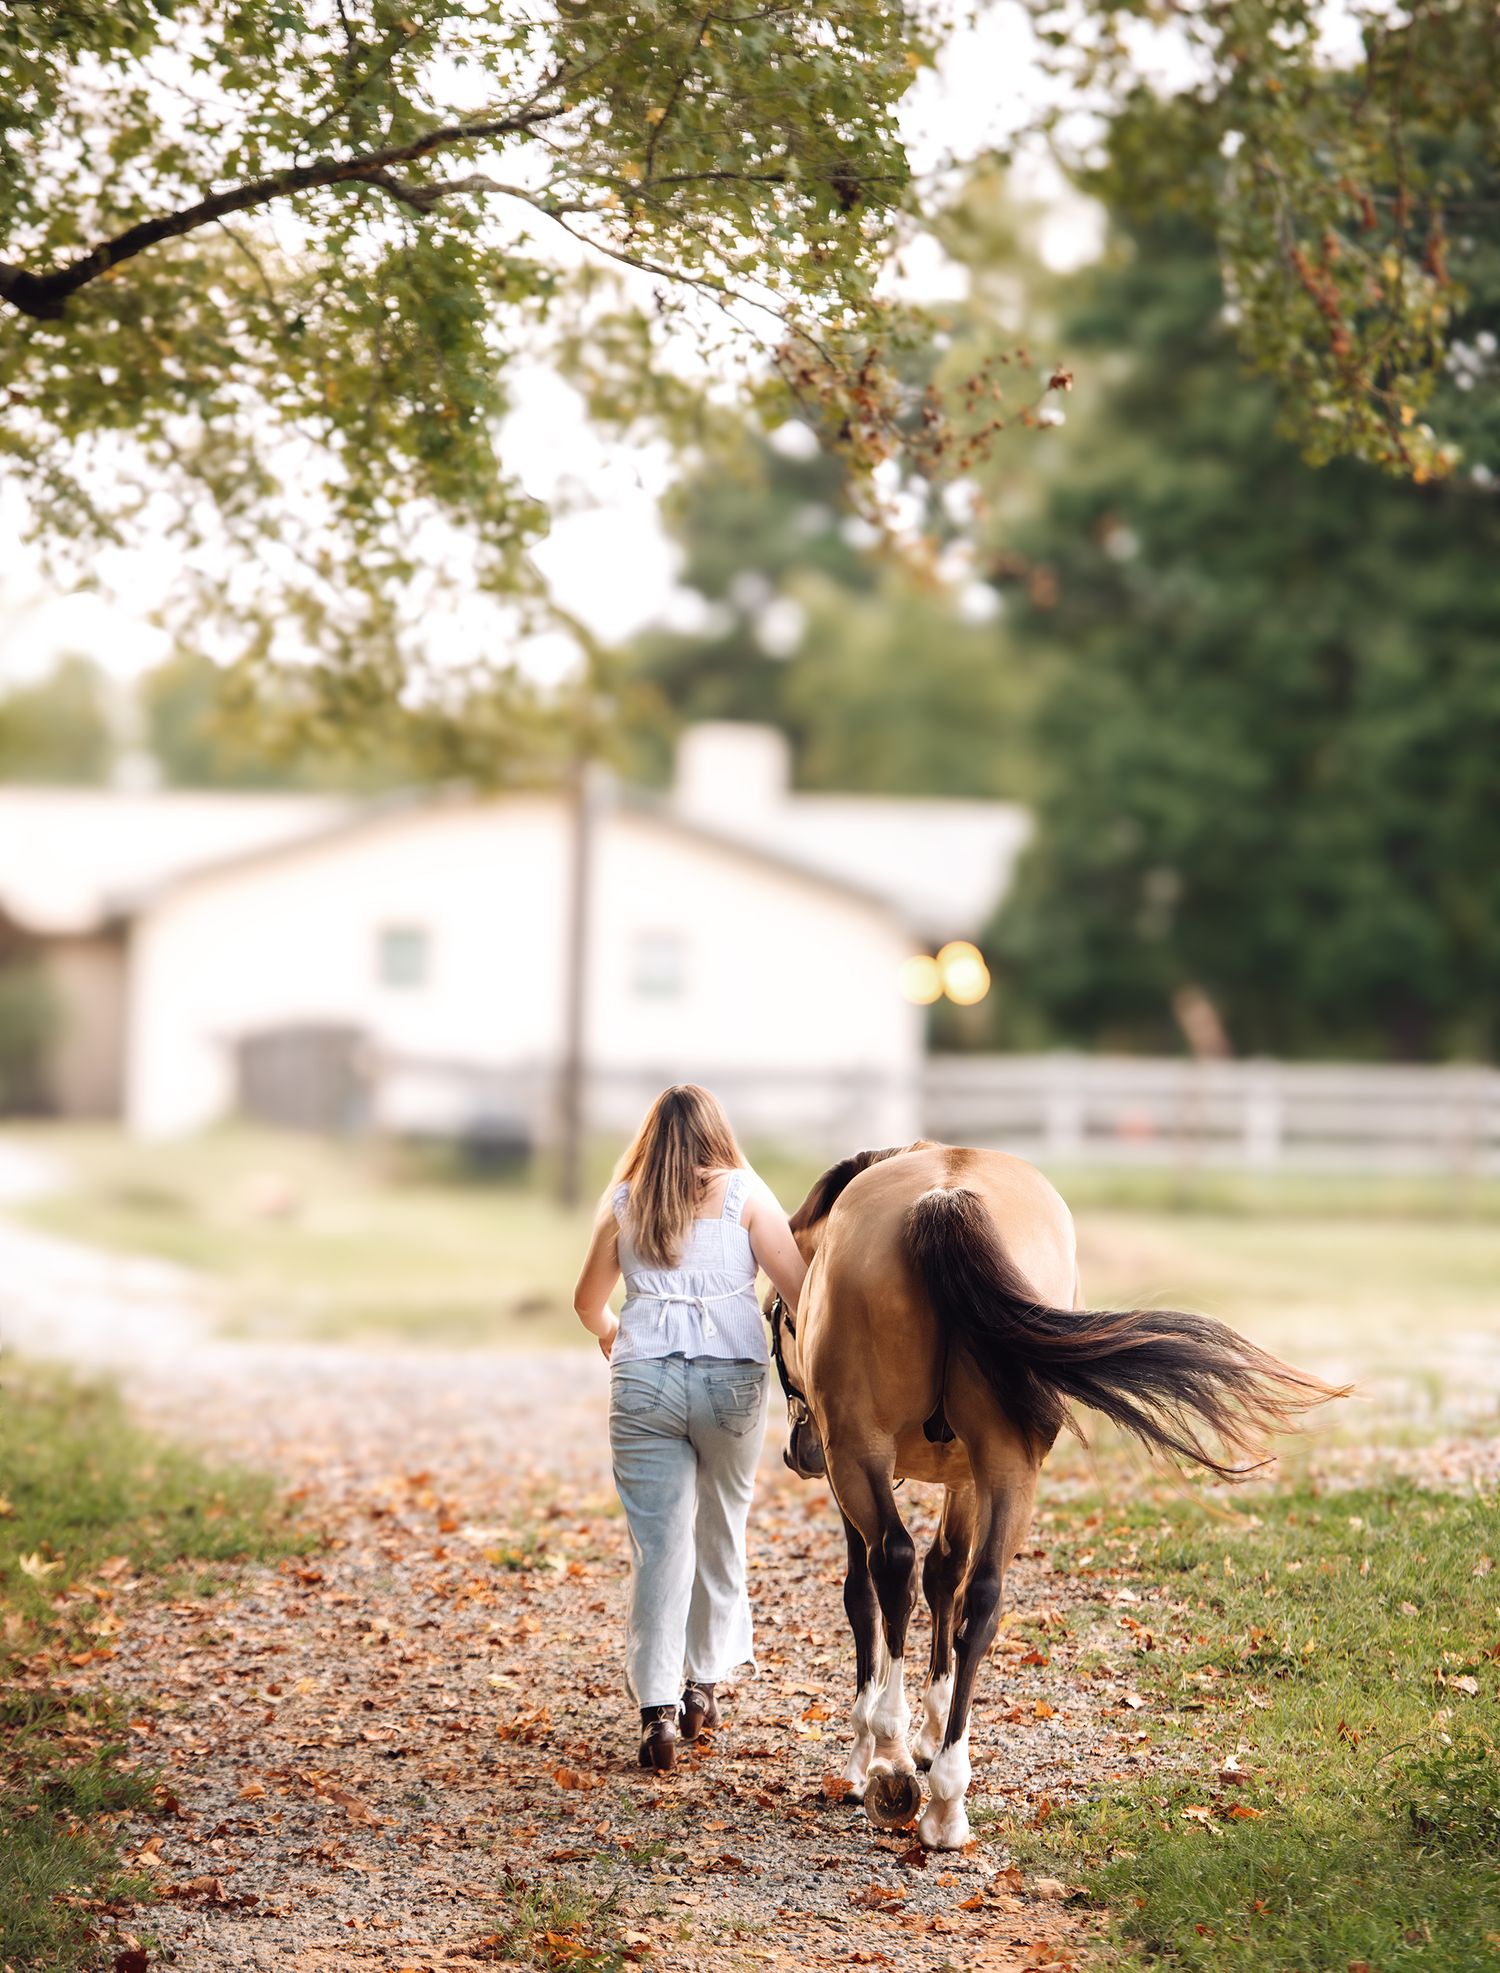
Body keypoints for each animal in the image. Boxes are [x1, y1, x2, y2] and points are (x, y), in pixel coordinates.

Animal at [768, 1140, 1344, 1851]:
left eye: (782, 1317)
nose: (797, 1454)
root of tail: (944, 1197)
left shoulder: (854, 1472)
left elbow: (867, 1596)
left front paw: (864, 1754)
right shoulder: (968, 1479)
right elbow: (947, 1577)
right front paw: (933, 1730)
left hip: (858, 1453)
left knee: (893, 1568)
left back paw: (892, 1763)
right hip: (1006, 1467)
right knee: (981, 1596)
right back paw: (947, 1798)